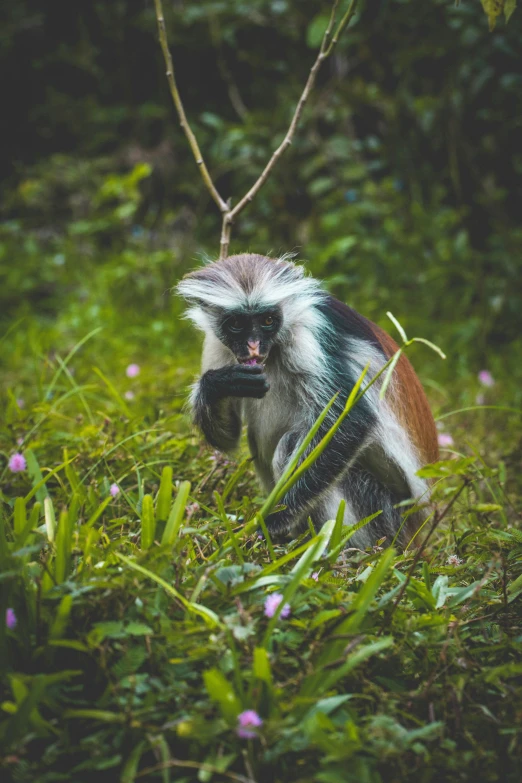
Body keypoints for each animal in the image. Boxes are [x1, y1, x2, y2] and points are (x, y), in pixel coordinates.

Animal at [177, 254, 436, 548]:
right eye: (237, 324)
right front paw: (220, 384)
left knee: (293, 444)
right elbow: (227, 438)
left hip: (383, 514)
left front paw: (273, 521)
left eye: (268, 320)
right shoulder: (217, 343)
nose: (254, 346)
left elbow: (351, 422)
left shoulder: (311, 334)